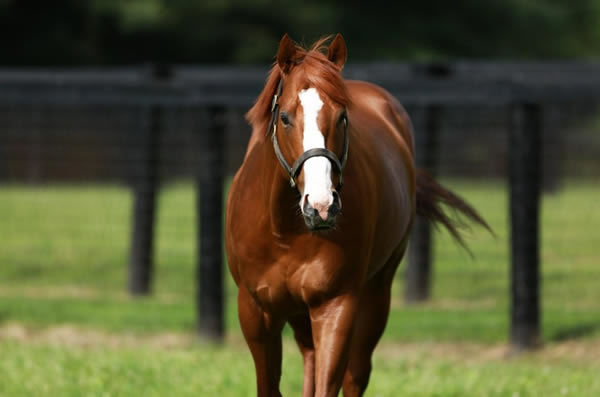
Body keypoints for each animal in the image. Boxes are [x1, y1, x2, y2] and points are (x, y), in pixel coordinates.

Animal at [225, 34, 488, 396]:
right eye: (286, 117)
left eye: (342, 117)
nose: (321, 205)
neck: (286, 232)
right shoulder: (256, 311)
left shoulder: (336, 304)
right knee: (310, 359)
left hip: (376, 293)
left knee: (356, 373)